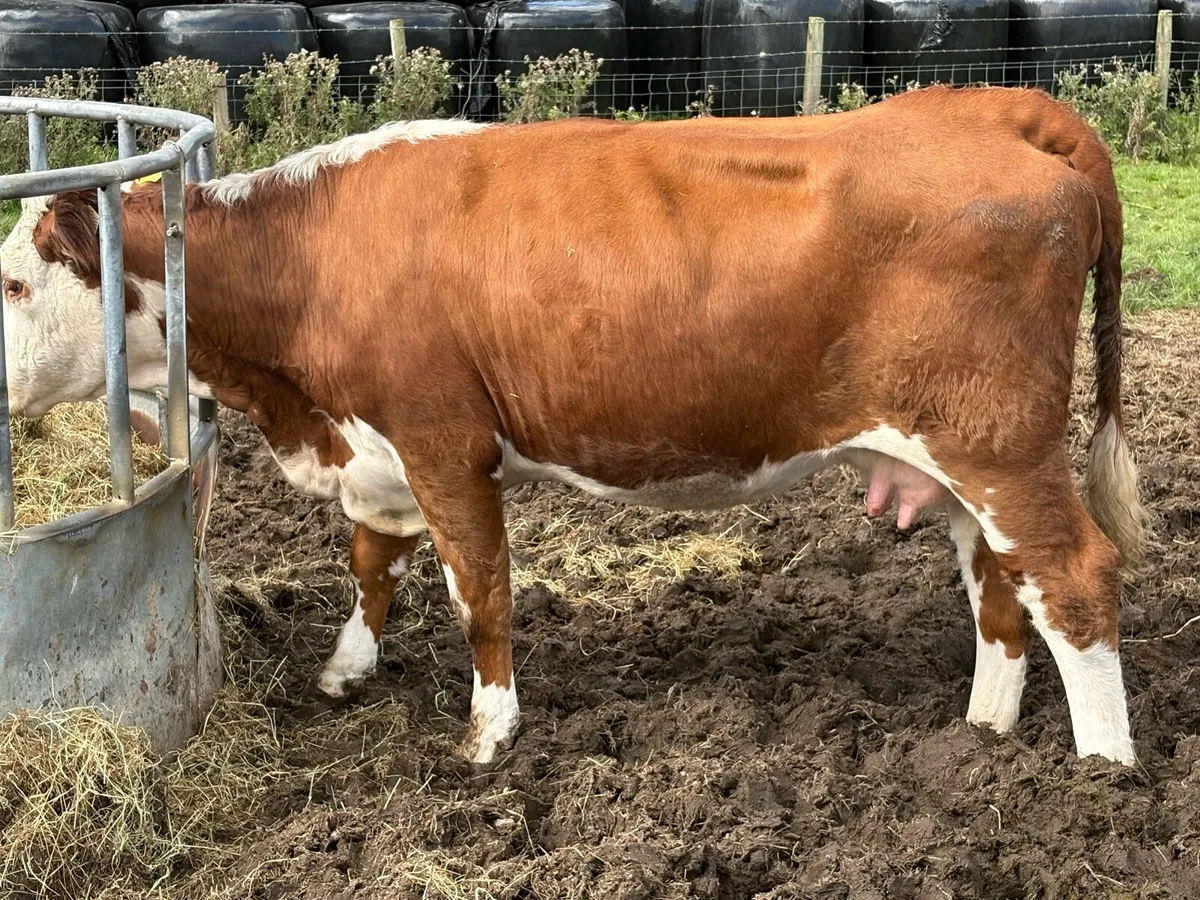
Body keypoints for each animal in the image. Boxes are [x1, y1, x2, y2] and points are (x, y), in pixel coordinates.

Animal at [0, 85, 1147, 767]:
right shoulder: (376, 453)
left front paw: (488, 735)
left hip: (999, 444)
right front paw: (345, 669)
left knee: (1074, 580)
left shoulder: (444, 441)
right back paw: (983, 731)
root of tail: (990, 108)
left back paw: (1099, 774)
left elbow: (480, 595)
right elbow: (373, 566)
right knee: (1000, 583)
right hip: (962, 459)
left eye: (13, 282)